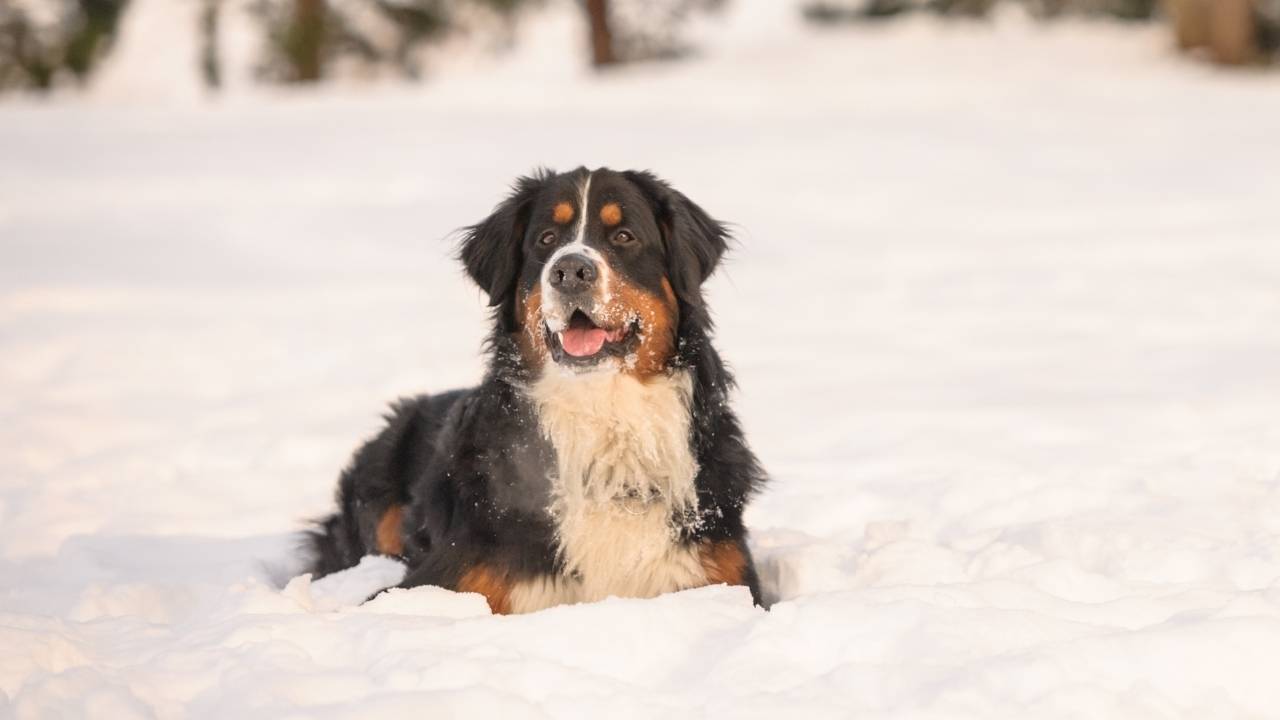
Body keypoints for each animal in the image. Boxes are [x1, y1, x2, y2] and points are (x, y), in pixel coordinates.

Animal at [307, 167, 768, 609]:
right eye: (547, 239)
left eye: (624, 236)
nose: (571, 271)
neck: (602, 414)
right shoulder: (435, 584)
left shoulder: (719, 575)